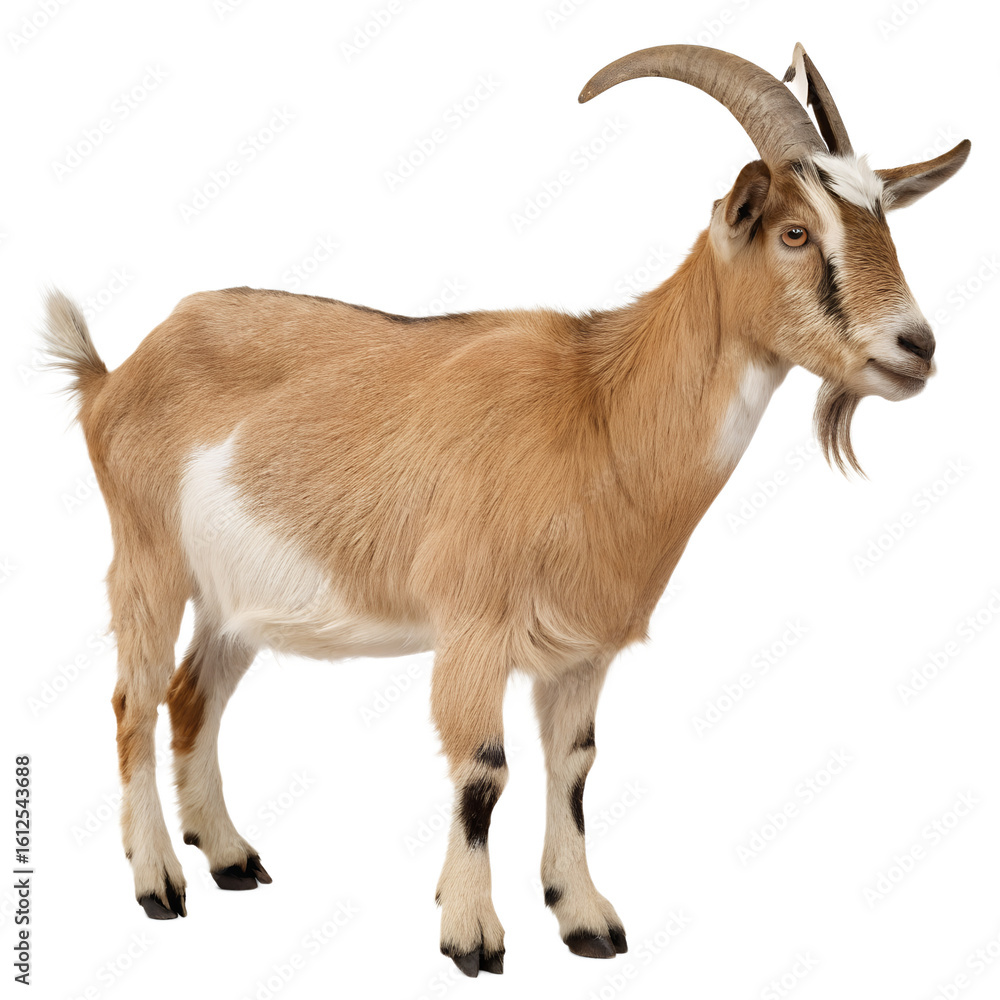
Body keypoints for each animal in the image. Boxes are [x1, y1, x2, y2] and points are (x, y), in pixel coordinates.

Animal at [42, 42, 968, 977]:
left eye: (885, 224)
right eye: (795, 232)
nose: (916, 347)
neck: (599, 410)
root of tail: (114, 375)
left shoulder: (582, 649)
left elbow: (575, 766)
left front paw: (585, 917)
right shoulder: (473, 626)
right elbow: (484, 769)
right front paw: (471, 934)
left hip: (235, 598)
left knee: (193, 695)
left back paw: (231, 856)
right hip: (147, 559)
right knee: (135, 701)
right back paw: (159, 882)